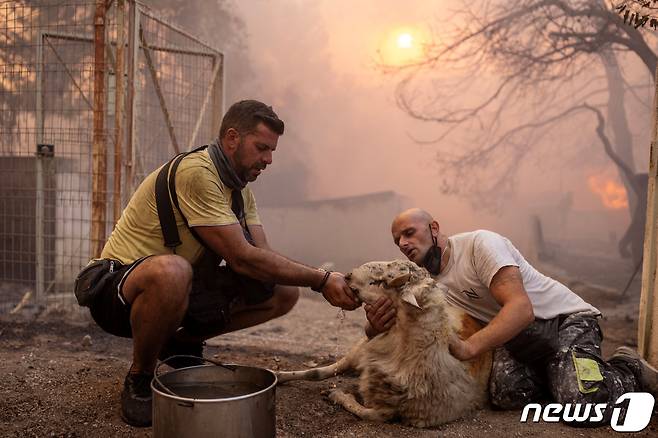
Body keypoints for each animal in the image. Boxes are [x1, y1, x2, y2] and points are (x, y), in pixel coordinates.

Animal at [274, 260, 490, 428]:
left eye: (382, 282)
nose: (348, 276)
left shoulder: (389, 410)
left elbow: (367, 414)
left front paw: (338, 394)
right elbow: (316, 372)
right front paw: (281, 376)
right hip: (361, 348)